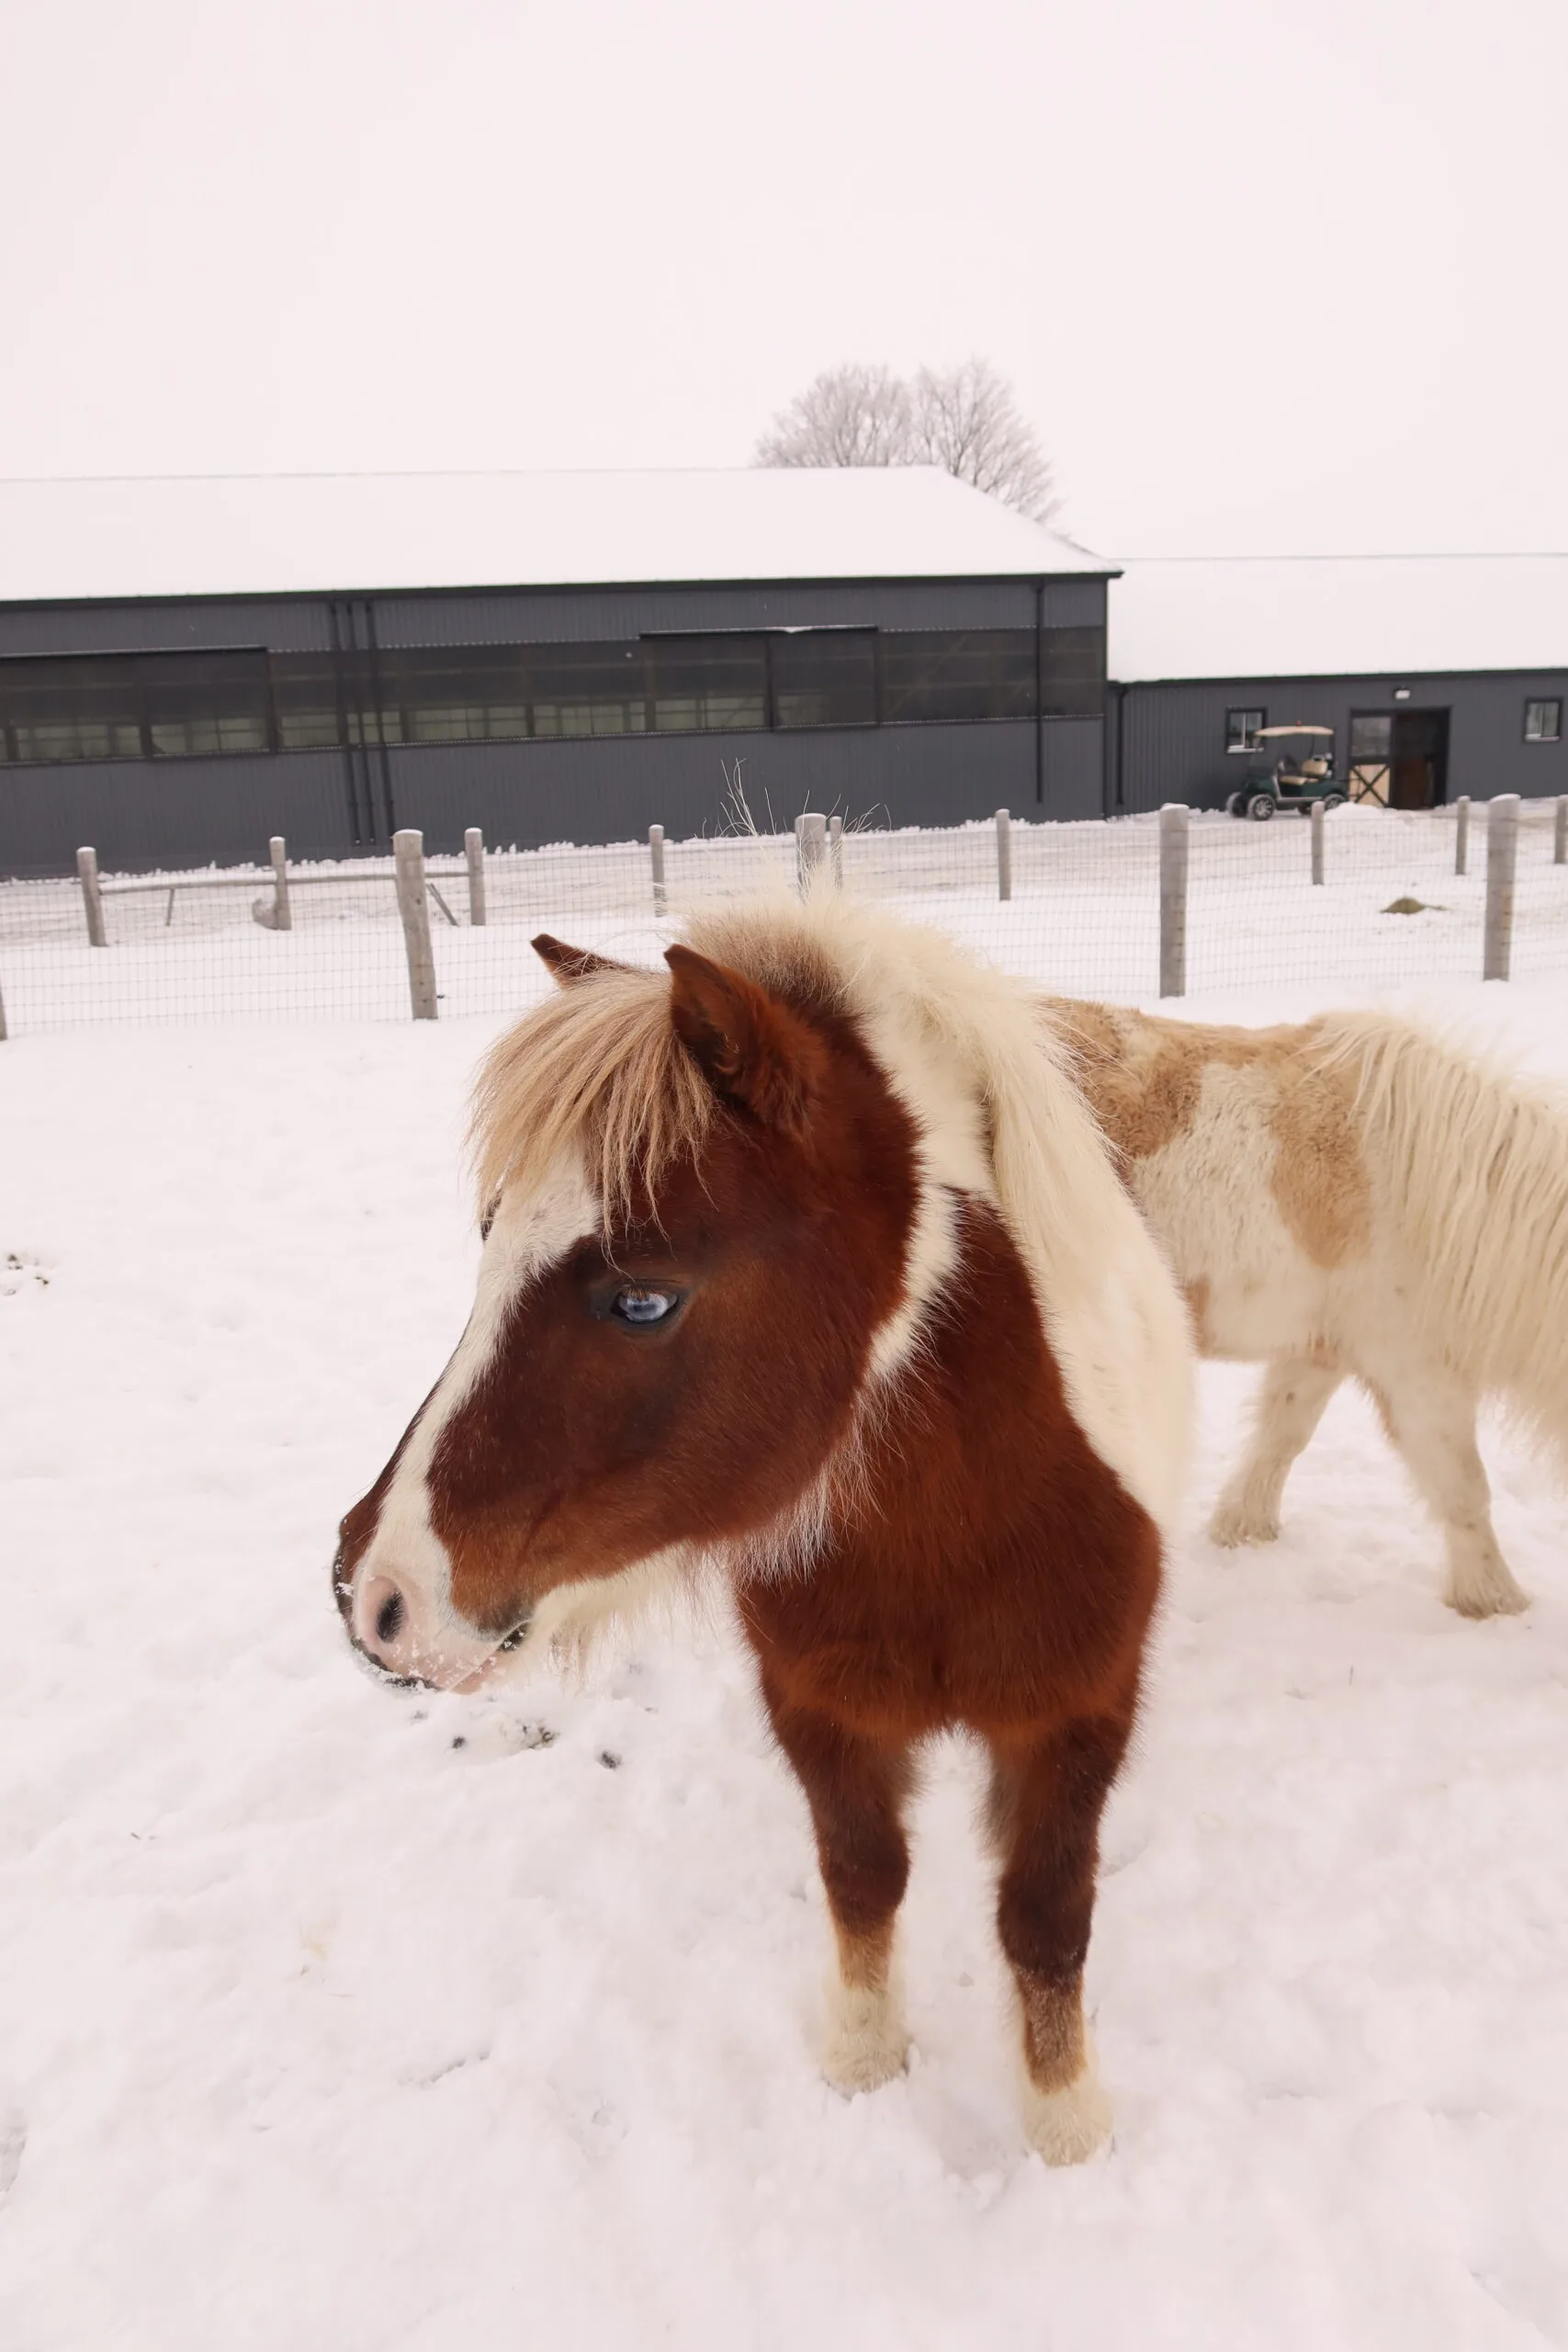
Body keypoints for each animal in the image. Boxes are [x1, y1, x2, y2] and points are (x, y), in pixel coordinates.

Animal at [334, 890, 1194, 2164]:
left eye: (643, 1296)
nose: (374, 1596)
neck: (952, 1540)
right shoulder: (820, 1710)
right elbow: (863, 1875)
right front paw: (863, 2062)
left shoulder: (1073, 1715)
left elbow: (1044, 1915)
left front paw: (1065, 2126)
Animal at [1050, 997, 1568, 1618]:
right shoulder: (1415, 1370)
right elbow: (1464, 1487)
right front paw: (1496, 1601)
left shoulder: (1322, 1349)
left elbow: (1281, 1435)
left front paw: (1243, 1529)